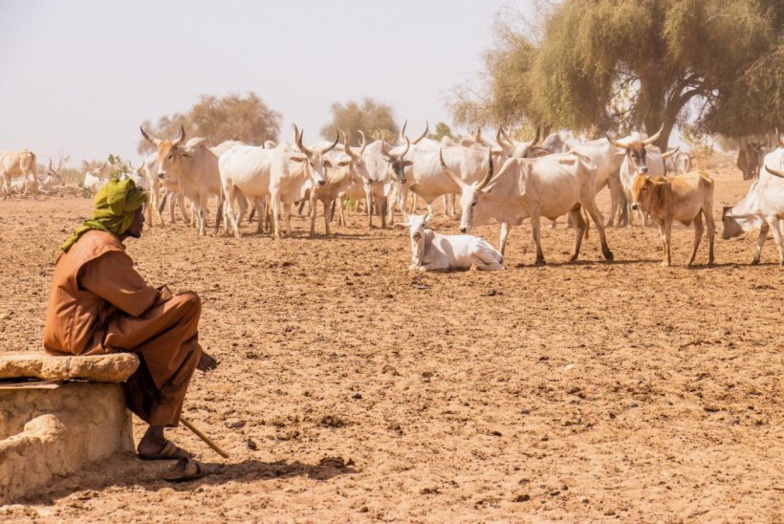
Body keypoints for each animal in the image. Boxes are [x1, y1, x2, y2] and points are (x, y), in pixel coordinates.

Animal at [440, 151, 612, 266]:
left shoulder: (534, 210)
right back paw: (573, 255)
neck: (511, 183)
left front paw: (540, 258)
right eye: (462, 203)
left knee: (599, 220)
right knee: (581, 225)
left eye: (474, 203)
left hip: (588, 199)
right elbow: (503, 237)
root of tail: (584, 158)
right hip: (574, 205)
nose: (463, 229)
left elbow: (536, 235)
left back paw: (607, 252)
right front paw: (500, 255)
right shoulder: (507, 215)